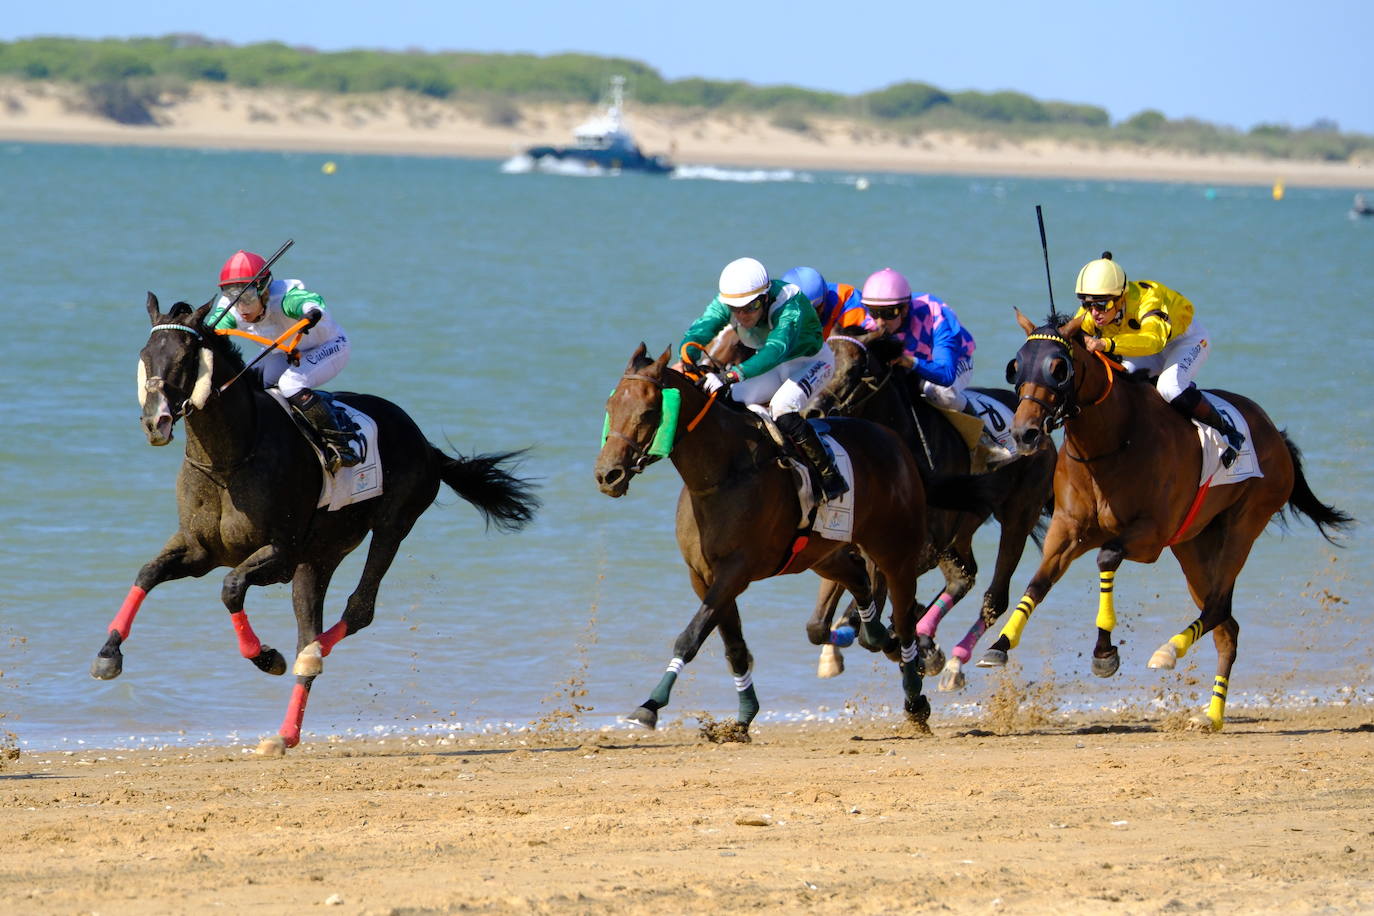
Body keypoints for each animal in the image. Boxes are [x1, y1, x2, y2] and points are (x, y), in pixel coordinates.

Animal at [91, 298, 538, 758]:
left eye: (183, 358)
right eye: (145, 356)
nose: (155, 422)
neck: (229, 460)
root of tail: (426, 444)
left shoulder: (280, 554)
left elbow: (231, 588)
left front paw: (265, 656)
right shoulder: (200, 550)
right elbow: (148, 573)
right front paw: (108, 654)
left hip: (391, 526)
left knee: (357, 609)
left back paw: (310, 655)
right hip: (319, 559)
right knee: (314, 624)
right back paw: (286, 730)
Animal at [590, 343, 934, 736]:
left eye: (649, 412)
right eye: (610, 407)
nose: (608, 474)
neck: (723, 474)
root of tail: (892, 439)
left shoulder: (735, 571)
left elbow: (691, 636)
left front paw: (650, 705)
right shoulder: (703, 575)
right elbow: (734, 647)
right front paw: (743, 717)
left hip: (897, 551)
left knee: (904, 621)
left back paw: (915, 698)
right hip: (822, 554)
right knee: (858, 578)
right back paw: (877, 636)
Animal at [802, 325, 1049, 692]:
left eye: (858, 369)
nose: (812, 412)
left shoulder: (918, 549)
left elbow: (869, 615)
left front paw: (904, 637)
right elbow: (819, 626)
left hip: (1018, 516)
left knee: (995, 596)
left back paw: (953, 661)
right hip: (962, 531)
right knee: (963, 576)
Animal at [978, 313, 1352, 730]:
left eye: (1058, 368)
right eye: (1016, 366)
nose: (1024, 433)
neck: (1112, 441)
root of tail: (1275, 433)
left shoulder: (1149, 537)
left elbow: (1107, 558)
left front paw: (1105, 653)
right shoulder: (1068, 531)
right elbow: (1038, 583)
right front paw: (999, 645)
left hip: (1245, 523)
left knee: (1218, 606)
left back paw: (1169, 652)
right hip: (1192, 544)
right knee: (1227, 627)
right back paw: (1212, 715)